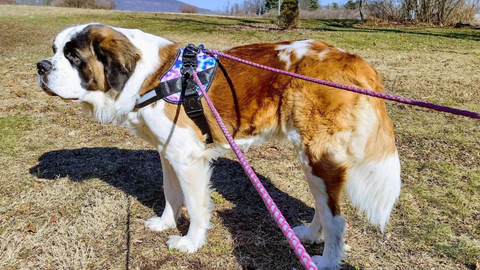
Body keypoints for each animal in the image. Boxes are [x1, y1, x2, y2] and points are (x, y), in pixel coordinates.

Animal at [36, 23, 402, 270]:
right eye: (54, 50)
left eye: (73, 57)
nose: (40, 66)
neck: (149, 76)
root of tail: (350, 59)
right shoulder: (167, 154)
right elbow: (171, 193)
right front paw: (165, 223)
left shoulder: (187, 158)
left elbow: (196, 206)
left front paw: (190, 243)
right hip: (314, 160)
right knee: (324, 209)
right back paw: (310, 236)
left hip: (317, 156)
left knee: (337, 220)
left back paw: (325, 260)